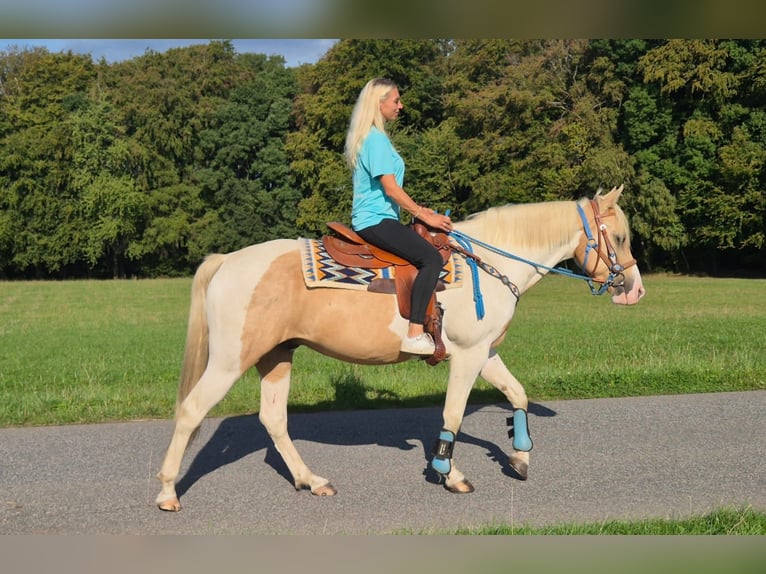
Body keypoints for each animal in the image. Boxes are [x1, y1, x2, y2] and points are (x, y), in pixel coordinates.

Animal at [155, 185, 645, 511]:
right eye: (619, 238)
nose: (635, 290)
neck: (489, 263)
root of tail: (227, 261)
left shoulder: (485, 353)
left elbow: (517, 393)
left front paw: (520, 456)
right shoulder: (468, 356)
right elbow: (452, 414)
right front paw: (450, 474)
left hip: (277, 355)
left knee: (273, 420)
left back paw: (310, 480)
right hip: (229, 361)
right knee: (192, 411)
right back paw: (167, 492)